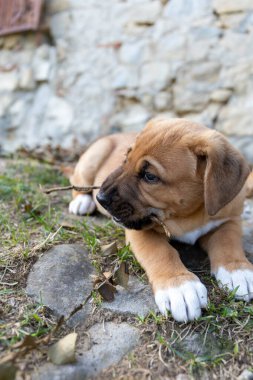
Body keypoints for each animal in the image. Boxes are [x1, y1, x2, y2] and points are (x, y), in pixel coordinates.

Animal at [68, 117, 253, 322]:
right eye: (126, 159)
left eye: (149, 176)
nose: (100, 198)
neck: (187, 215)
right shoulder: (139, 232)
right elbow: (161, 252)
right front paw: (180, 287)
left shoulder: (229, 220)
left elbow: (228, 242)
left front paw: (238, 270)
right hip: (91, 160)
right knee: (77, 181)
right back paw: (82, 201)